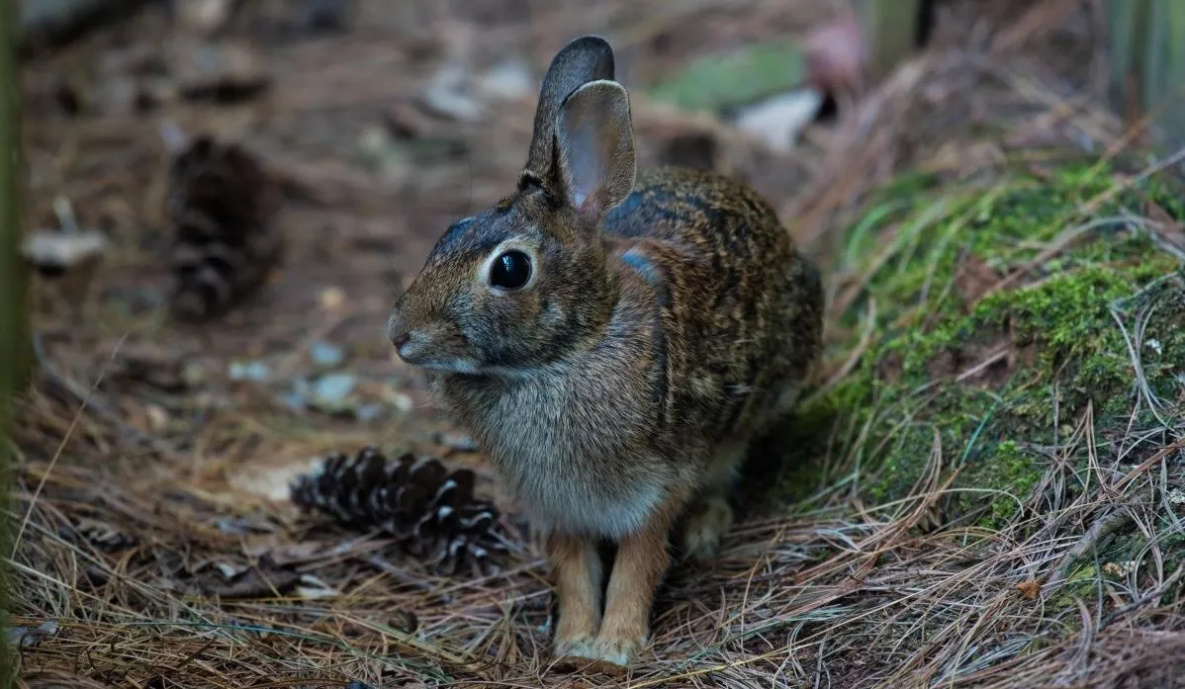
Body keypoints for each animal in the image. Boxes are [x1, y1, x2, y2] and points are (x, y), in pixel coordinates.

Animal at [388, 34, 824, 668]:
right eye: (451, 230)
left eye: (510, 269)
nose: (399, 334)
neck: (569, 352)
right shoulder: (557, 507)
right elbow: (574, 571)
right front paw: (573, 642)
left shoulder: (657, 486)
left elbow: (637, 565)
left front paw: (614, 647)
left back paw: (705, 530)